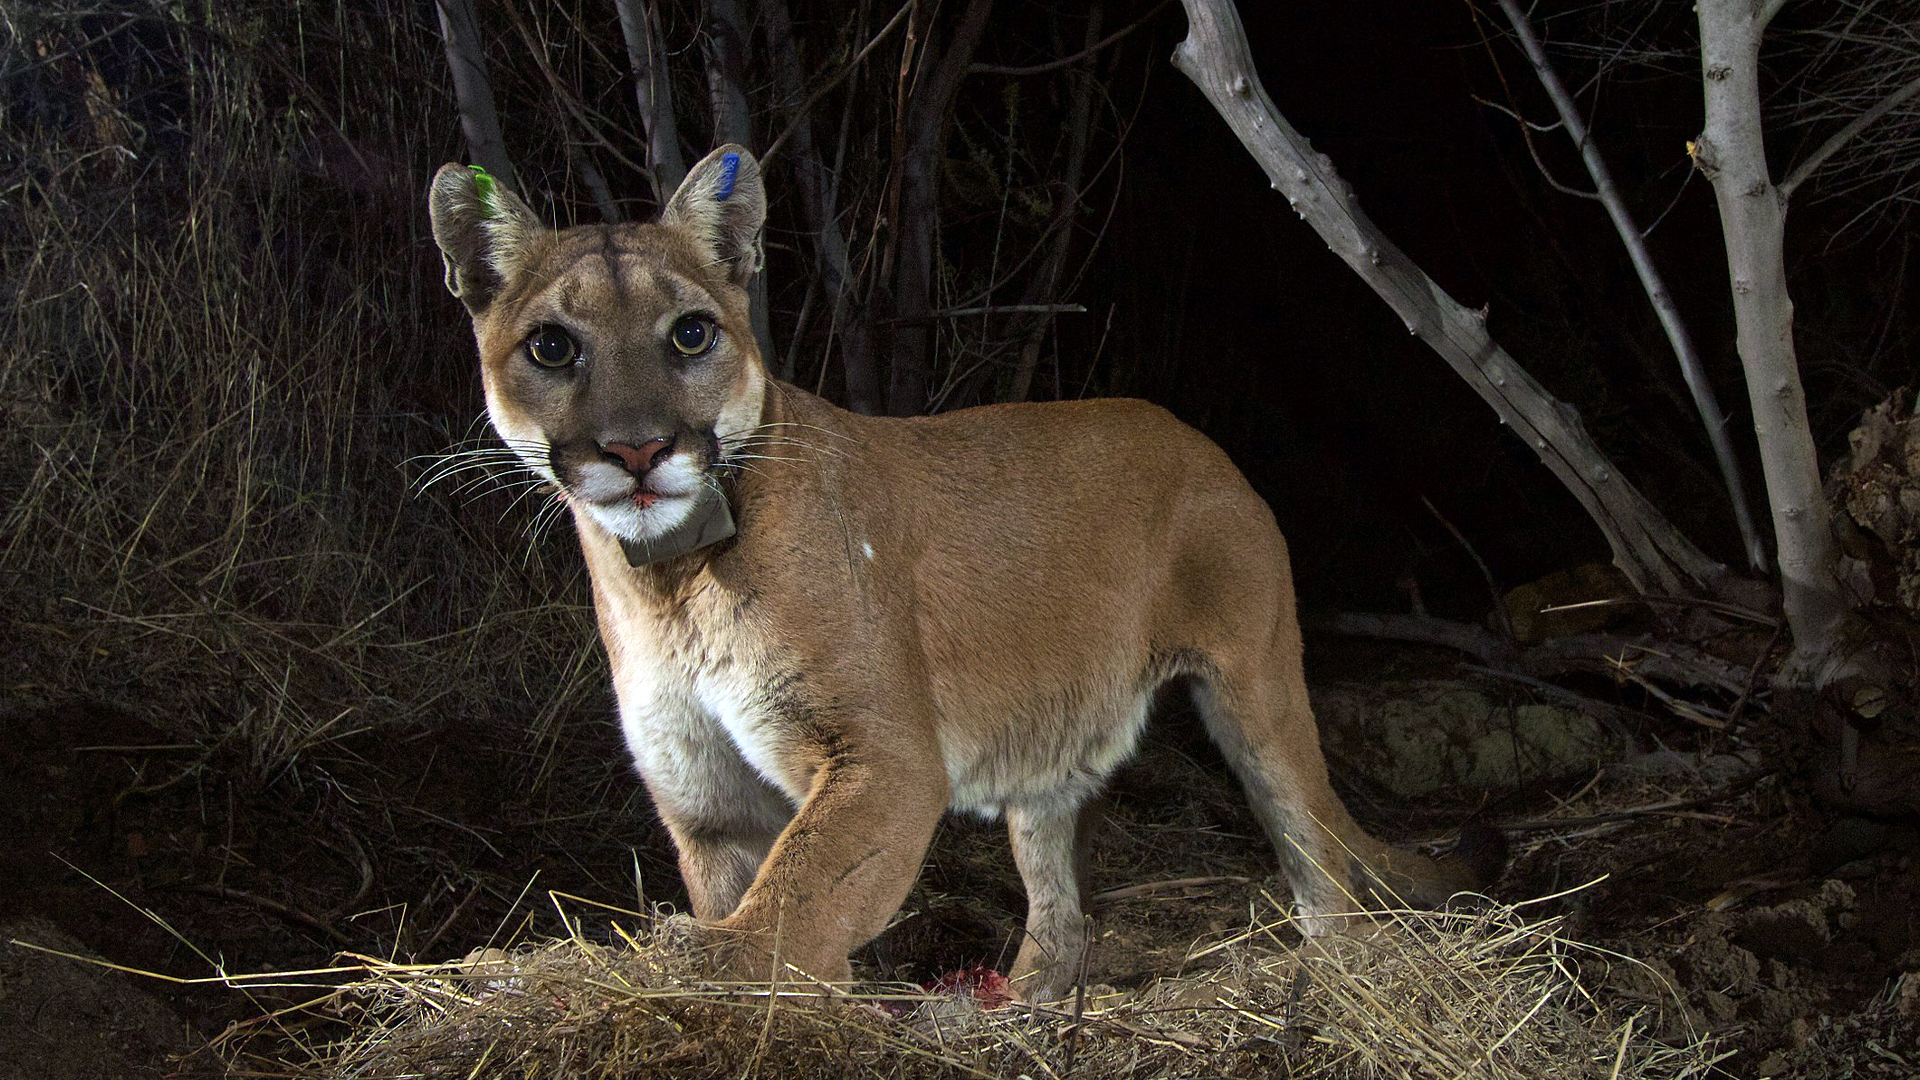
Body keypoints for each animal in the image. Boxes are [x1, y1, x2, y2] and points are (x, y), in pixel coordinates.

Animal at [432, 145, 1497, 999]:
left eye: (690, 333)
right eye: (552, 347)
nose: (638, 448)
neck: (669, 582)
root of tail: (1197, 437)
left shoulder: (884, 758)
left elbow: (793, 903)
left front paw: (709, 976)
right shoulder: (705, 801)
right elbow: (767, 903)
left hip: (1256, 687)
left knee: (1317, 850)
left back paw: (1336, 982)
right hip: (1049, 747)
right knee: (1061, 909)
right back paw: (1019, 1004)